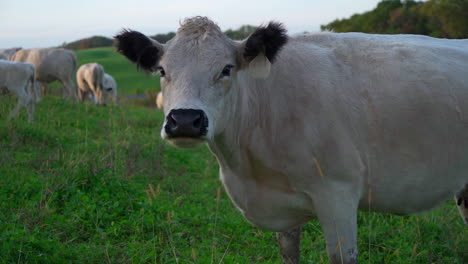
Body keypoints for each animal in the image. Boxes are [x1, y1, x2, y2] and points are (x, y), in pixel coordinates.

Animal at [114, 17, 468, 264]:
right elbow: (288, 252)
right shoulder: (281, 199)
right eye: (162, 71)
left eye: (226, 69)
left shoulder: (338, 192)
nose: (186, 120)